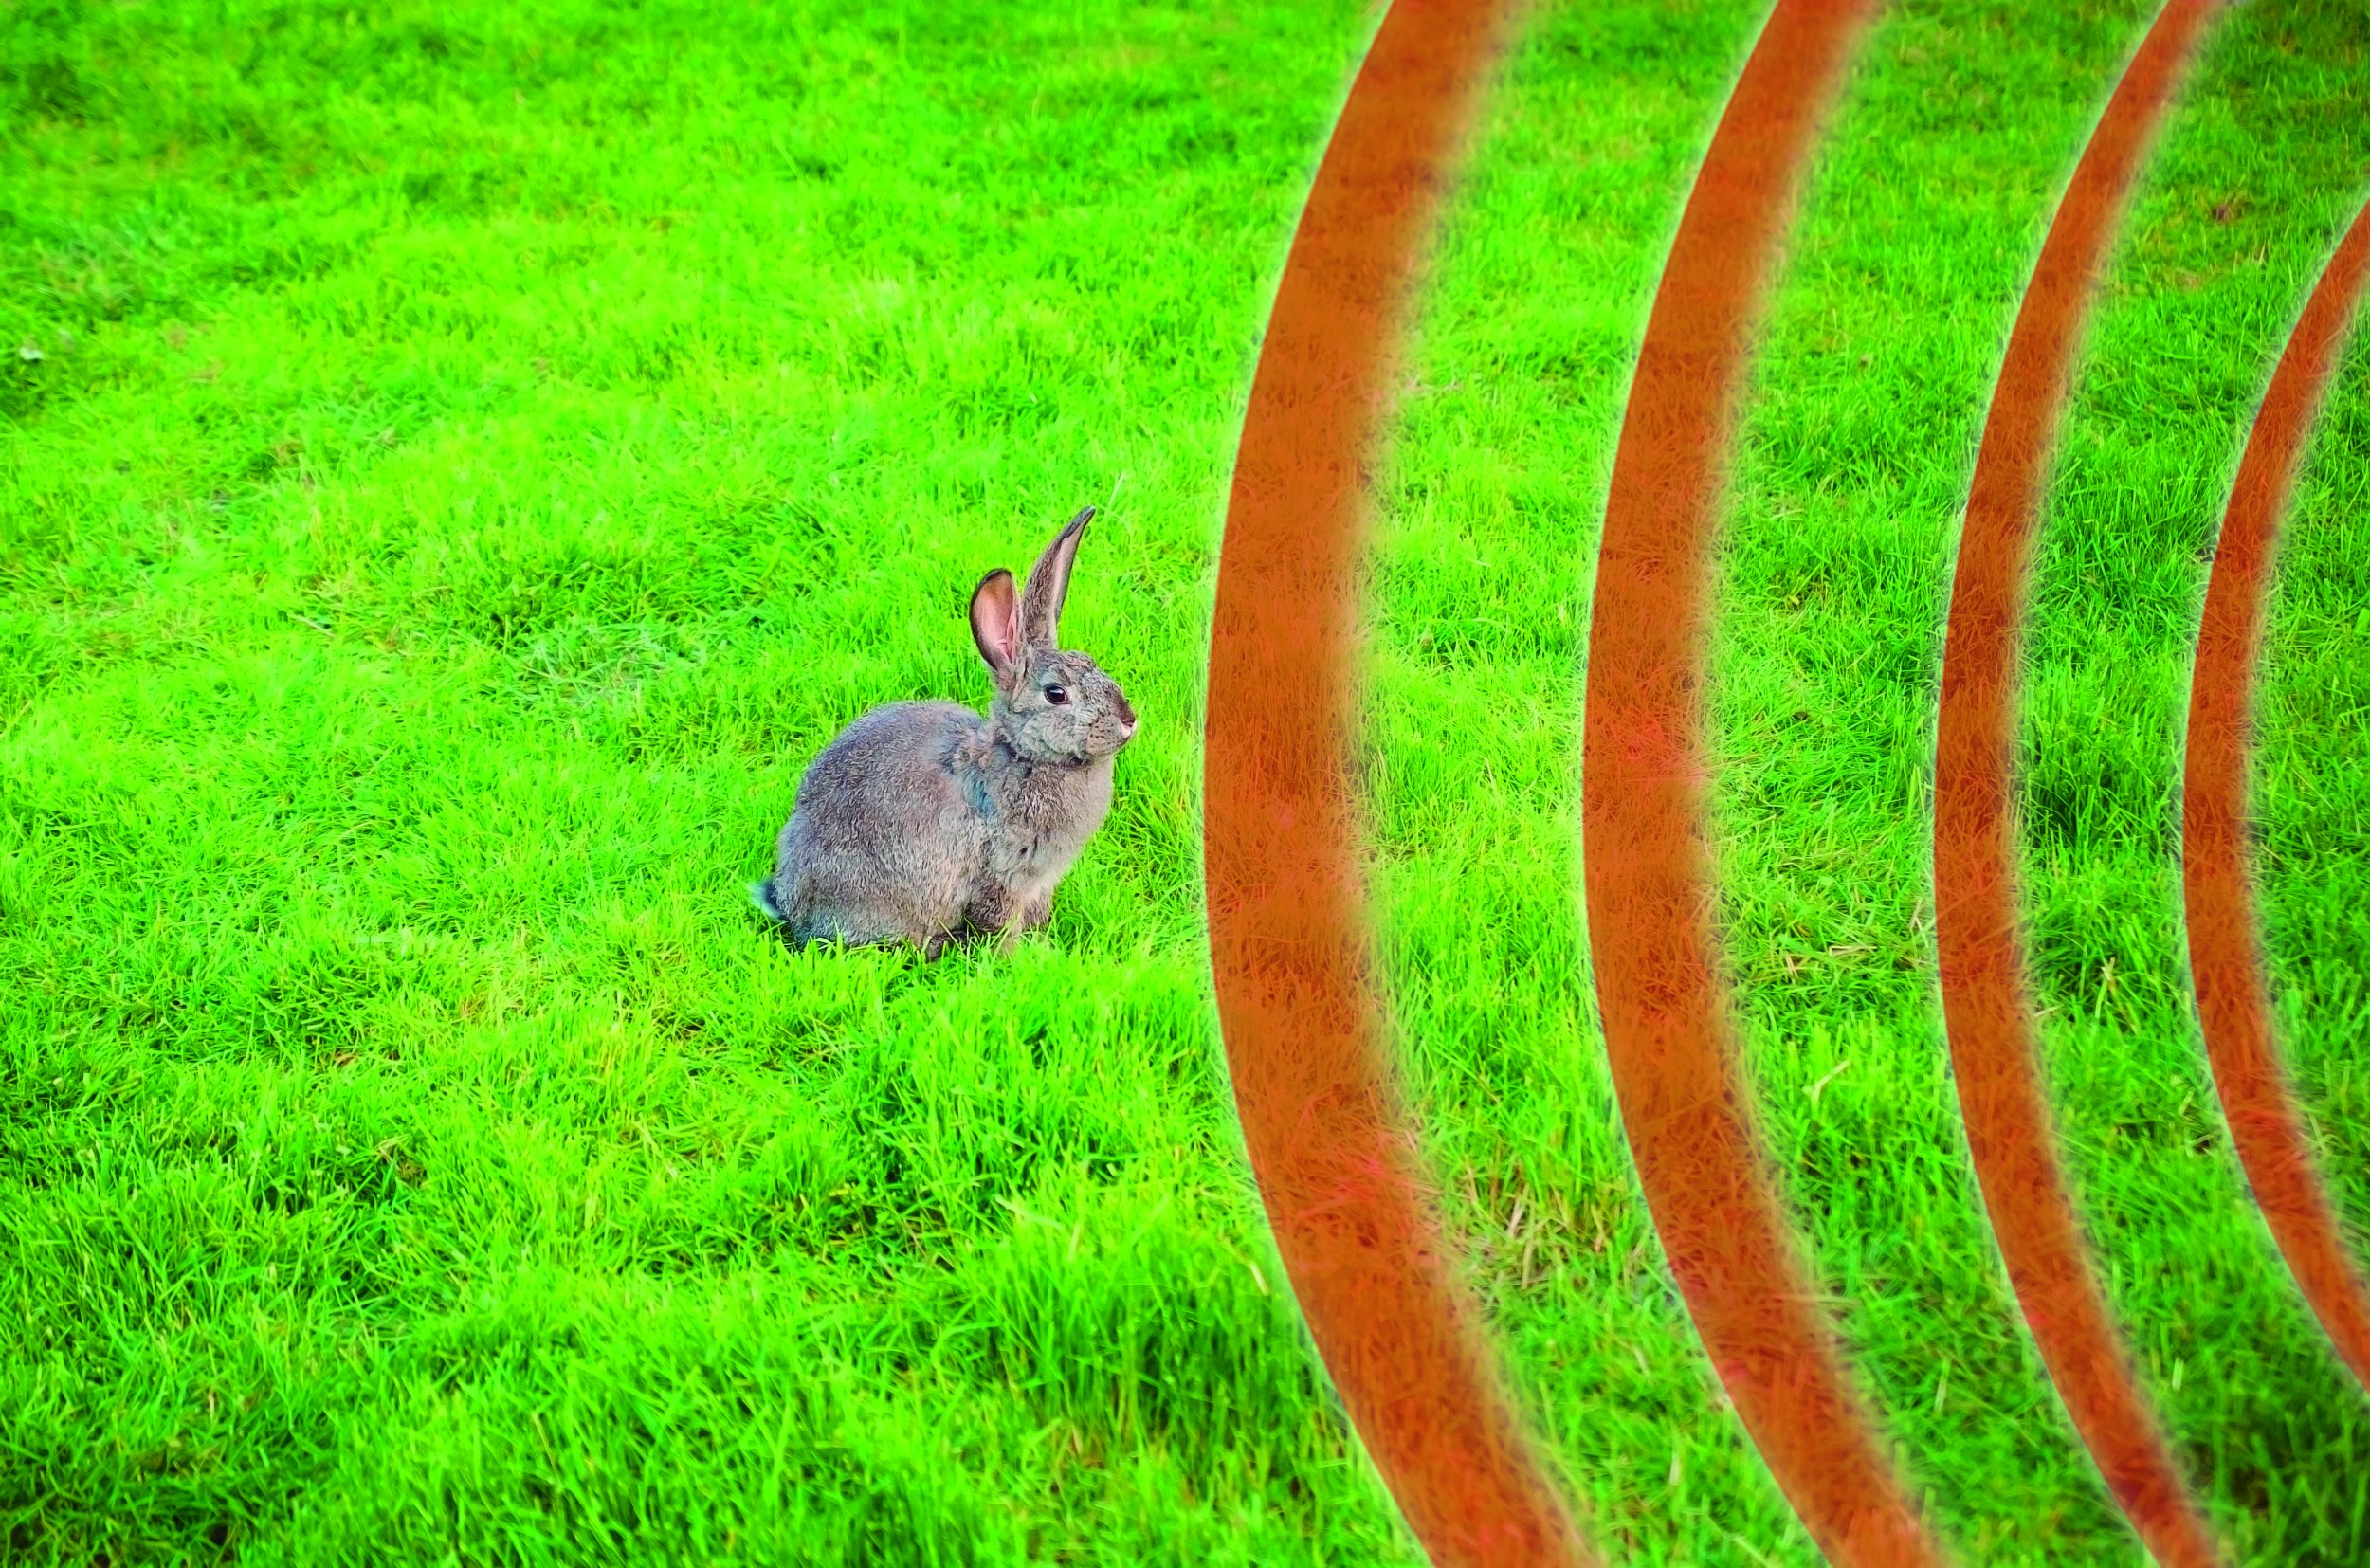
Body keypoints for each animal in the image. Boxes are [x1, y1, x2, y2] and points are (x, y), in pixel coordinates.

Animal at [749, 509, 1138, 966]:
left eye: (1090, 662)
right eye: (1056, 694)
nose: (1129, 720)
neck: (1023, 755)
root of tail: (788, 903)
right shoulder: (1003, 873)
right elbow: (999, 923)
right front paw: (1017, 959)